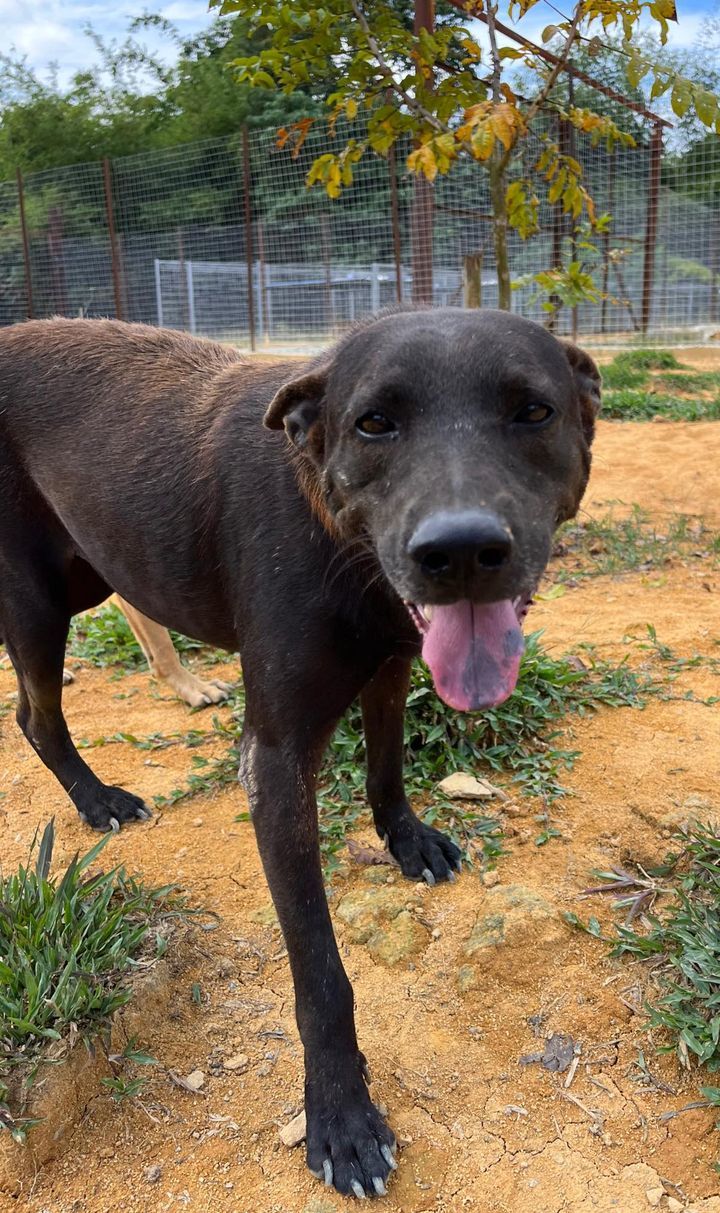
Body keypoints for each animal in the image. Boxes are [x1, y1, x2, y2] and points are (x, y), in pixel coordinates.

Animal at [0, 308, 596, 1198]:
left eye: (534, 411)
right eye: (374, 422)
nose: (459, 551)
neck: (333, 536)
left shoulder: (391, 661)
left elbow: (387, 765)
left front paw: (407, 839)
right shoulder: (274, 762)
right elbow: (319, 972)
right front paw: (342, 1116)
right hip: (35, 600)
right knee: (37, 717)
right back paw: (97, 798)